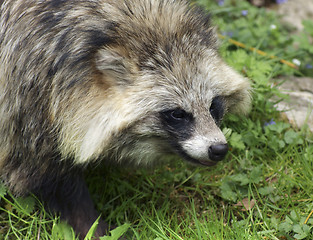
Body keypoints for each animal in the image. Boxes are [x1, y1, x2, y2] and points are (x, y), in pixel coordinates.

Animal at [0, 0, 250, 237]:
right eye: (177, 113)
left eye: (213, 105)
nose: (219, 149)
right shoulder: (28, 101)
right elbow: (47, 177)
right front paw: (92, 228)